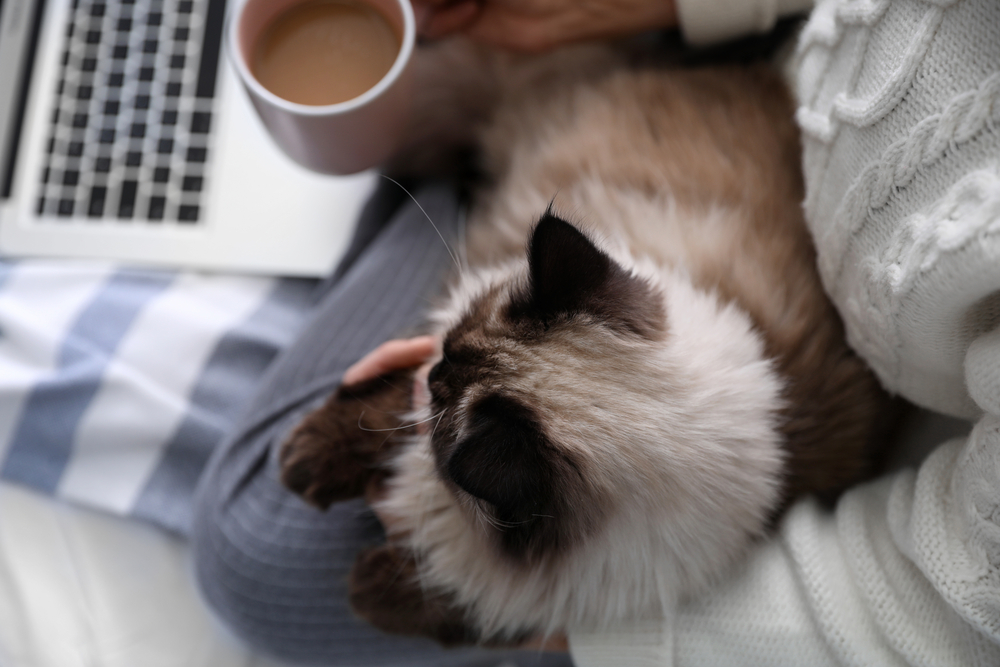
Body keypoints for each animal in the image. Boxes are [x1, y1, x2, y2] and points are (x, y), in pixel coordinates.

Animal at [278, 40, 896, 648]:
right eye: (447, 356)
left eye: (440, 400)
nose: (432, 379)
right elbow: (376, 411)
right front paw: (302, 463)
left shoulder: (528, 602)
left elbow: (459, 605)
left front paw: (366, 588)